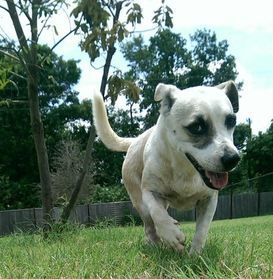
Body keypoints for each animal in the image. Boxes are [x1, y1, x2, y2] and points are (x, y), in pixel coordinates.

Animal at [91, 80, 238, 254]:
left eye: (231, 121)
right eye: (196, 126)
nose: (232, 158)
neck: (185, 169)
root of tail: (135, 140)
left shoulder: (209, 199)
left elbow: (202, 230)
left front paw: (195, 255)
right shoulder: (149, 191)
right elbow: (158, 214)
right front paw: (172, 235)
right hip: (139, 202)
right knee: (150, 226)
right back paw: (157, 244)